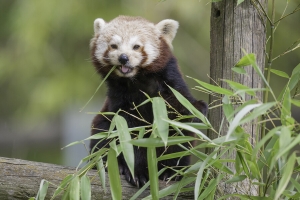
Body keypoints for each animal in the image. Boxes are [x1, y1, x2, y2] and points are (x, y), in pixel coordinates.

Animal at [89, 15, 207, 188]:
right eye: (114, 46)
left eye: (136, 46)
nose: (123, 57)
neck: (137, 80)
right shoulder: (122, 101)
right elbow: (131, 135)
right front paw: (138, 172)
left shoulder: (168, 87)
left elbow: (179, 117)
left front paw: (196, 108)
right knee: (102, 134)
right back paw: (117, 166)